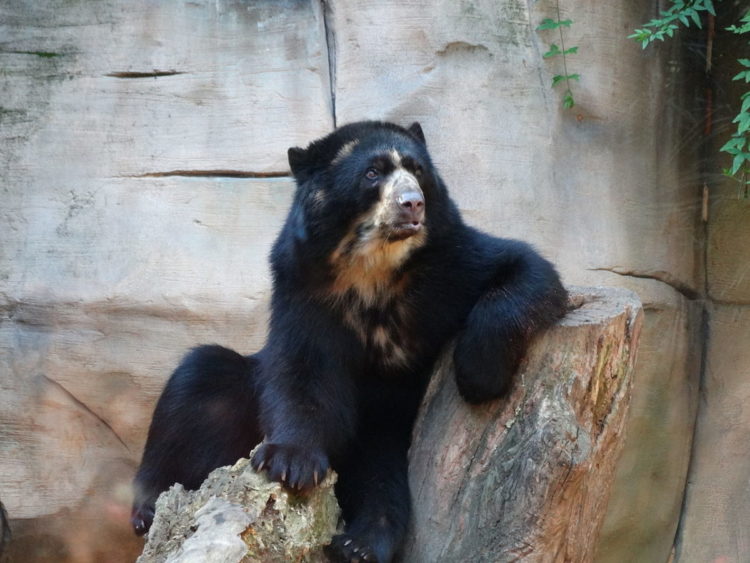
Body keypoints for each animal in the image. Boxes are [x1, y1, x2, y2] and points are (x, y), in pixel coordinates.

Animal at [132, 121, 568, 560]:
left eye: (417, 170)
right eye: (372, 173)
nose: (413, 203)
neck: (373, 266)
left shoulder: (451, 264)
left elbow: (525, 270)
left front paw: (479, 375)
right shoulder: (303, 288)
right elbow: (302, 371)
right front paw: (289, 463)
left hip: (385, 429)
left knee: (381, 479)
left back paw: (359, 544)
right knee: (200, 381)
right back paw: (147, 510)